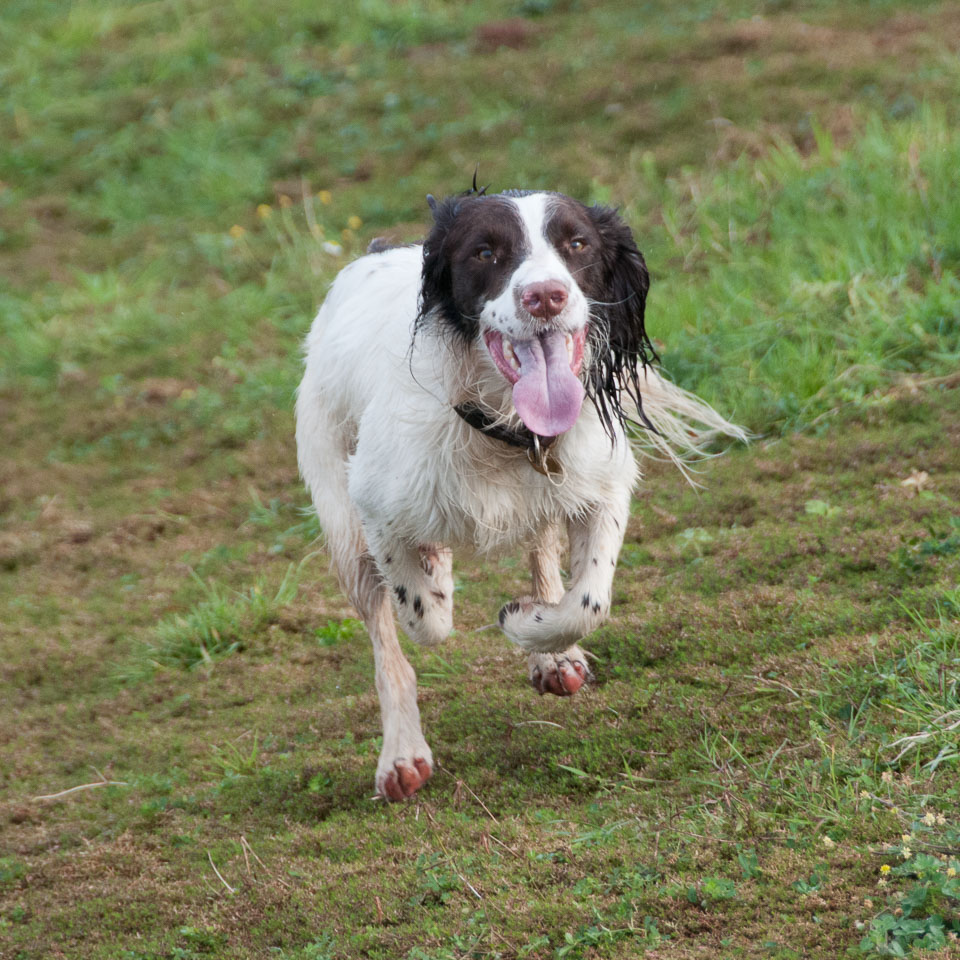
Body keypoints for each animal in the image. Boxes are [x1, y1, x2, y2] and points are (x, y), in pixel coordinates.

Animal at [296, 188, 748, 804]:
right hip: (341, 524)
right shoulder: (373, 505)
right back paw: (402, 754)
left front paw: (529, 627)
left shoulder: (605, 486)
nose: (545, 296)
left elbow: (587, 602)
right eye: (486, 252)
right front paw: (439, 586)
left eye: (576, 243)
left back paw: (550, 654)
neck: (502, 429)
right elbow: (424, 618)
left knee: (542, 551)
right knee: (386, 637)